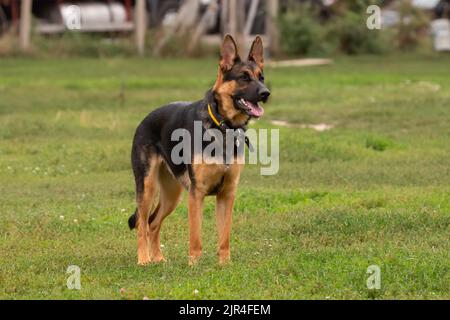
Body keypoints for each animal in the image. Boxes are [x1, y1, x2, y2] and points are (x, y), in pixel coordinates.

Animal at [128, 34, 268, 264]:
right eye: (244, 78)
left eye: (261, 77)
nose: (266, 93)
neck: (223, 127)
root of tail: (145, 119)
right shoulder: (197, 194)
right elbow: (195, 237)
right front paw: (194, 265)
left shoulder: (227, 195)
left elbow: (224, 236)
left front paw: (225, 264)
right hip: (148, 188)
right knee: (142, 224)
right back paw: (144, 260)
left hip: (172, 195)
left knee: (153, 223)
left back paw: (158, 259)